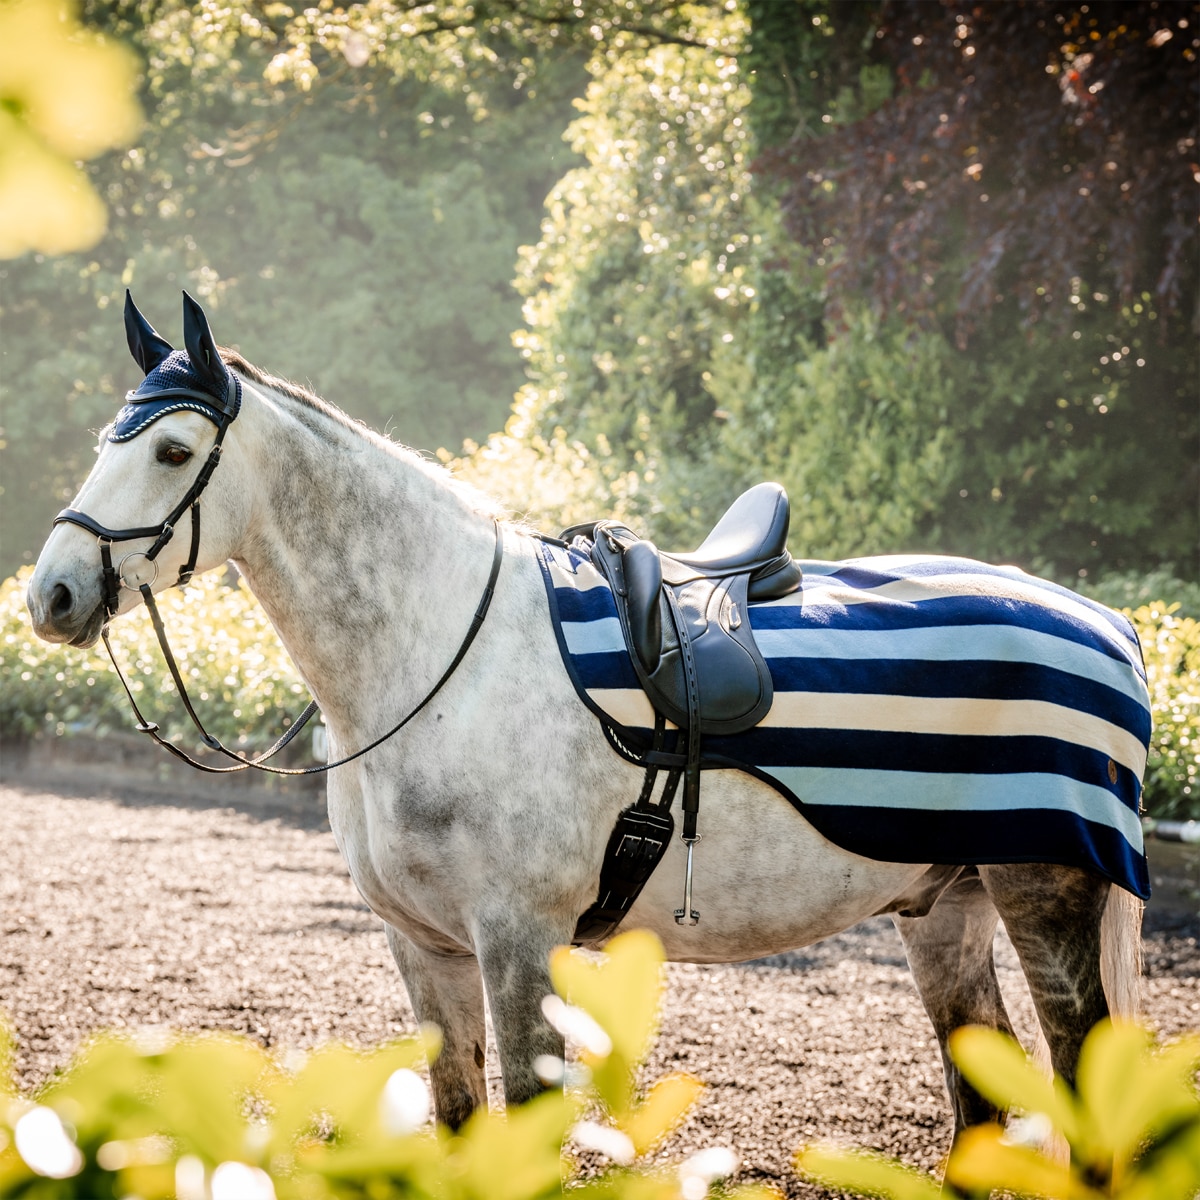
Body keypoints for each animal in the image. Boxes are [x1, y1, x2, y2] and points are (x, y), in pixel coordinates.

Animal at [27, 292, 1147, 1142]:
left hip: (1044, 898)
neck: (441, 655)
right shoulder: (426, 950)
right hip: (945, 908)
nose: (54, 594)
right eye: (110, 441)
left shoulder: (520, 942)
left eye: (173, 451)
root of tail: (1107, 623)